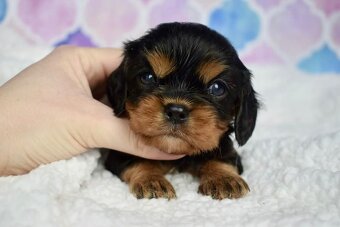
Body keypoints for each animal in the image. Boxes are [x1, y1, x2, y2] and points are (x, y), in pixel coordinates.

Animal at [103, 22, 258, 200]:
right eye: (148, 77)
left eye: (217, 88)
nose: (176, 112)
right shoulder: (119, 155)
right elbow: (139, 161)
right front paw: (152, 180)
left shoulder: (225, 147)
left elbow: (222, 158)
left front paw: (224, 179)